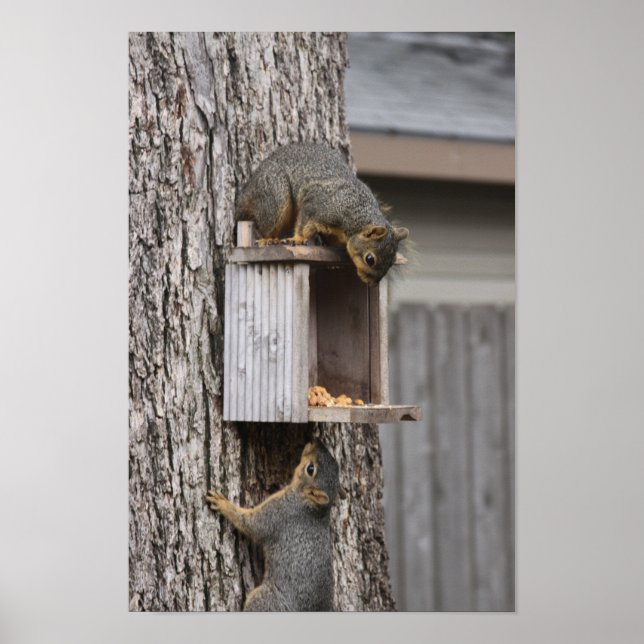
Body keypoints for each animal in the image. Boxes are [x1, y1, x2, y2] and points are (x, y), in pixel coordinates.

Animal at [206, 438, 346, 611]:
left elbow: (252, 524)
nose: (315, 441)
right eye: (335, 465)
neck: (312, 507)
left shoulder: (279, 513)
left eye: (310, 469)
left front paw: (222, 503)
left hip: (265, 600)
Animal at [235, 142, 409, 285]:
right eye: (370, 259)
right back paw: (268, 239)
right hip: (276, 194)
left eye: (392, 261)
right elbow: (304, 224)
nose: (372, 284)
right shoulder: (317, 205)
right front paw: (298, 239)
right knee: (266, 225)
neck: (355, 215)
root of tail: (248, 190)